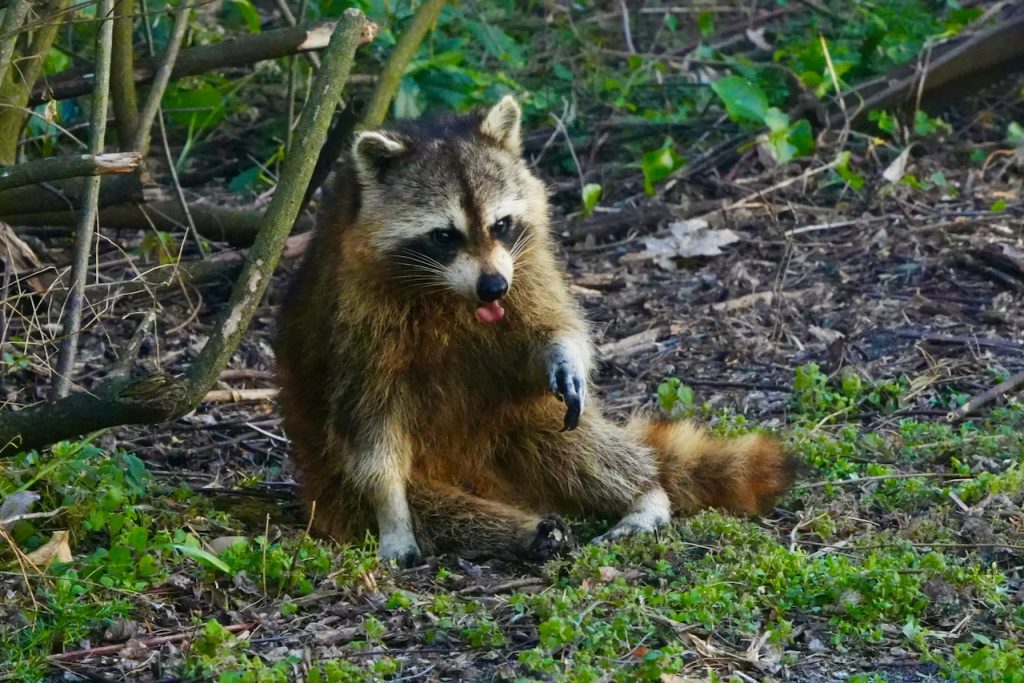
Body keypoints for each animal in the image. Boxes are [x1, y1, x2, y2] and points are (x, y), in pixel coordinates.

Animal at [274, 96, 796, 566]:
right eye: (444, 235)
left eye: (501, 224)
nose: (493, 287)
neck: (451, 294)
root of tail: (493, 483)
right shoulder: (354, 321)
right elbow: (371, 433)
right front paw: (392, 515)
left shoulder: (528, 268)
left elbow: (555, 327)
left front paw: (563, 353)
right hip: (334, 484)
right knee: (439, 510)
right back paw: (524, 532)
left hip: (521, 418)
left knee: (576, 442)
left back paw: (644, 494)